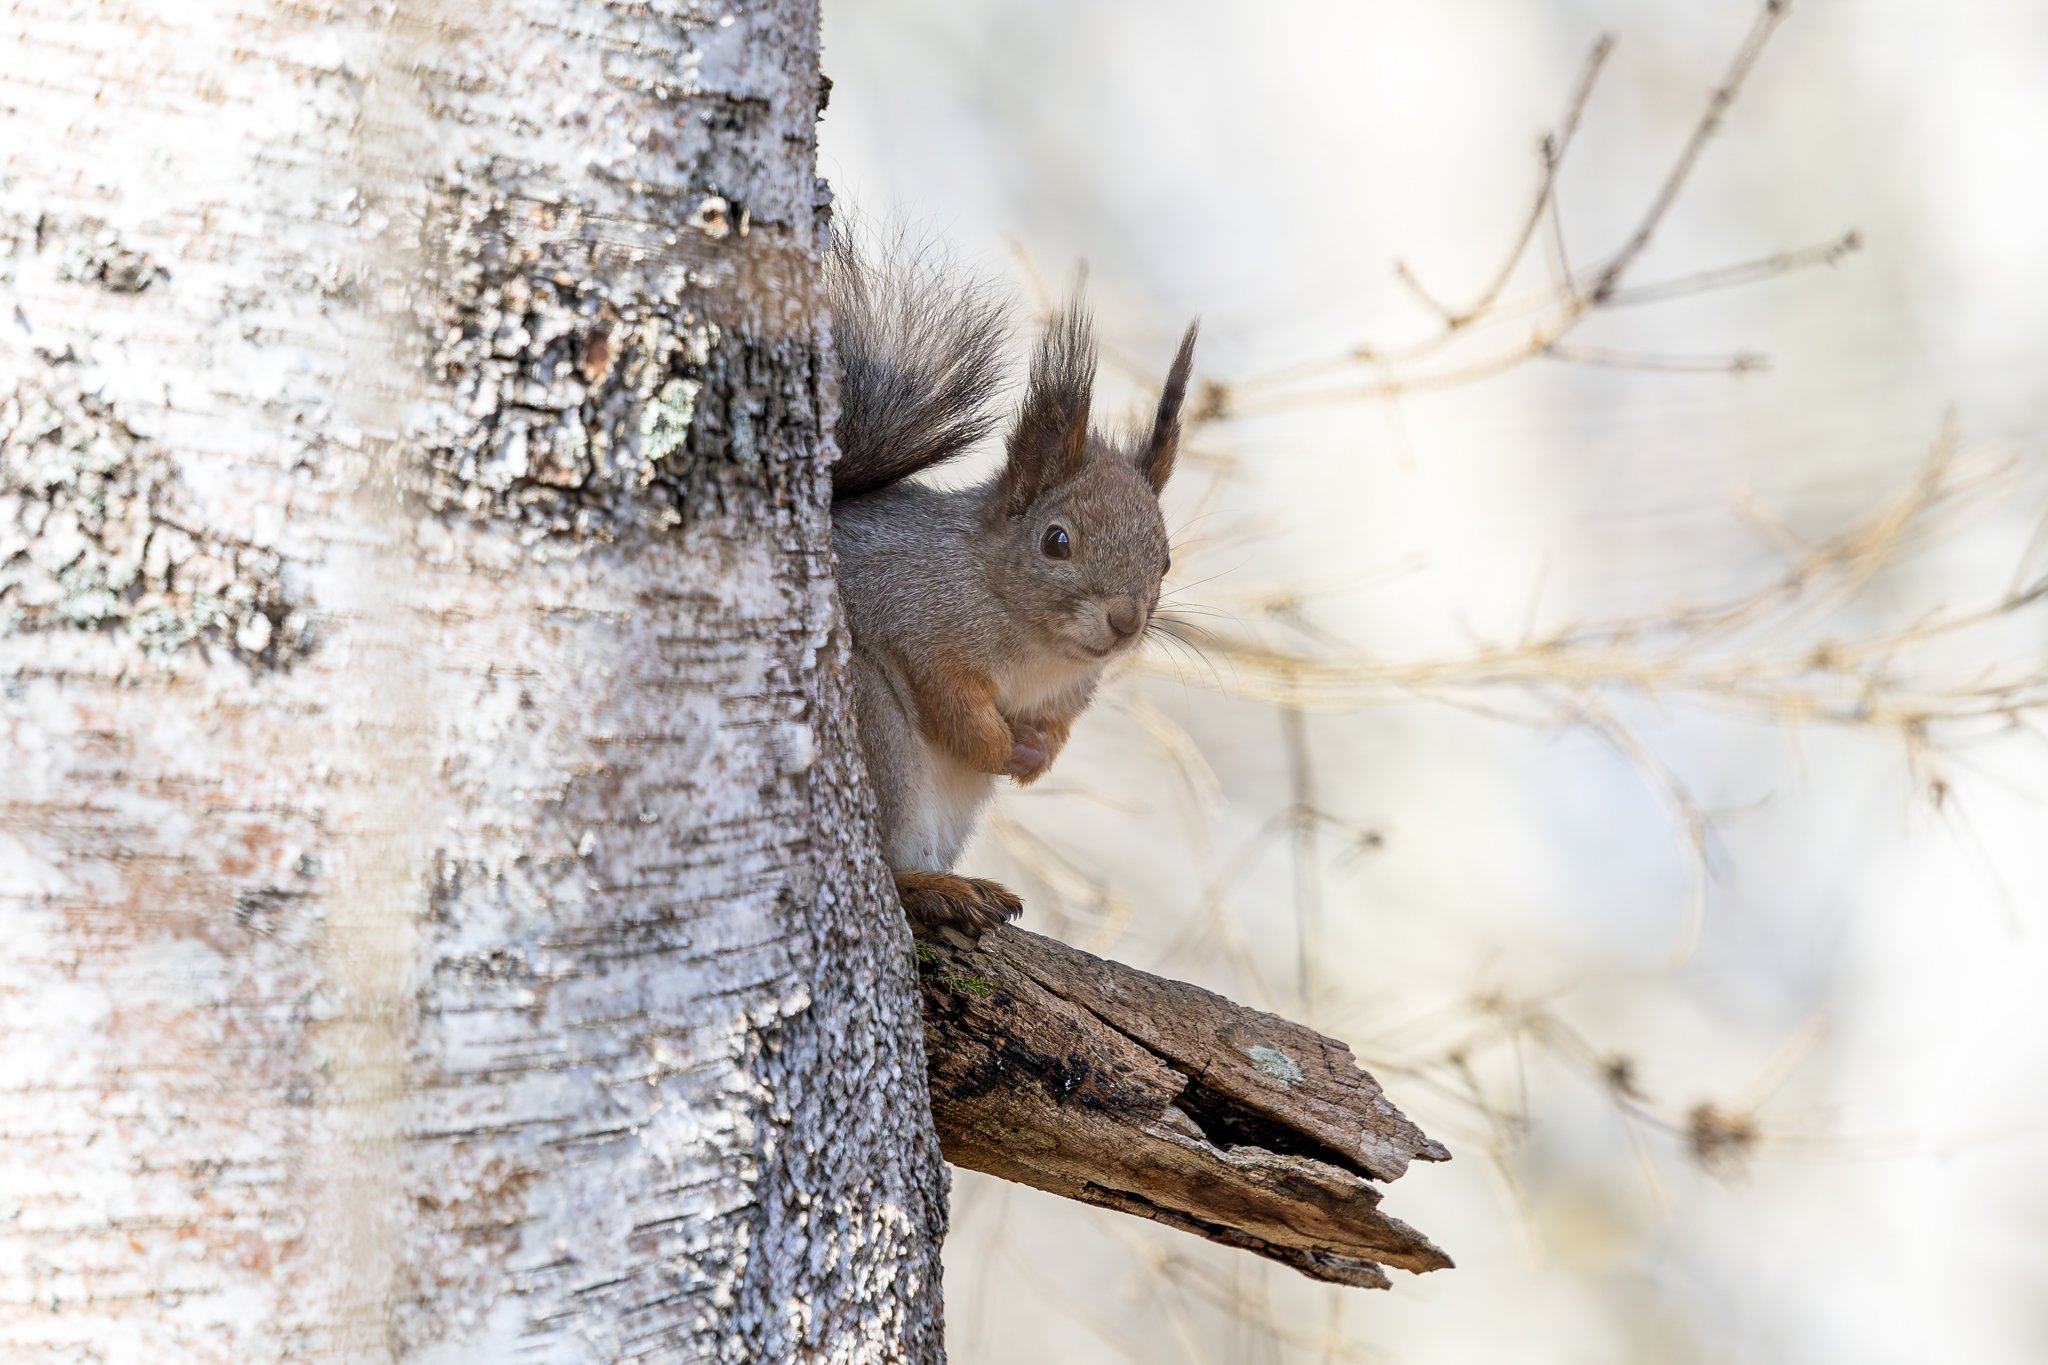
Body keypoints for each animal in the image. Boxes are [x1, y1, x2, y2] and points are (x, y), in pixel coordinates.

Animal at [826, 237, 1198, 933]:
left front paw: (1037, 754)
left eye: (1165, 560)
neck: (1038, 650)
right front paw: (998, 745)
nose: (1126, 622)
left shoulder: (1069, 693)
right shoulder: (907, 609)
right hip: (867, 723)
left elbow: (1057, 729)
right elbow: (949, 697)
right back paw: (926, 886)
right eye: (1056, 541)